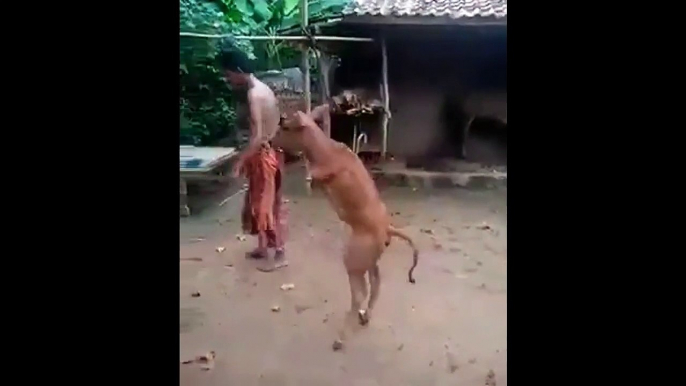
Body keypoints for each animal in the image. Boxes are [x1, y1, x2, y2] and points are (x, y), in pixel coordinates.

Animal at [274, 104, 420, 352]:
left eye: (285, 125)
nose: (270, 141)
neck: (326, 150)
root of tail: (387, 228)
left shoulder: (321, 173)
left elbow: (313, 176)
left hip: (353, 260)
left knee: (360, 293)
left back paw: (340, 338)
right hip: (368, 260)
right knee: (376, 284)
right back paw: (364, 317)